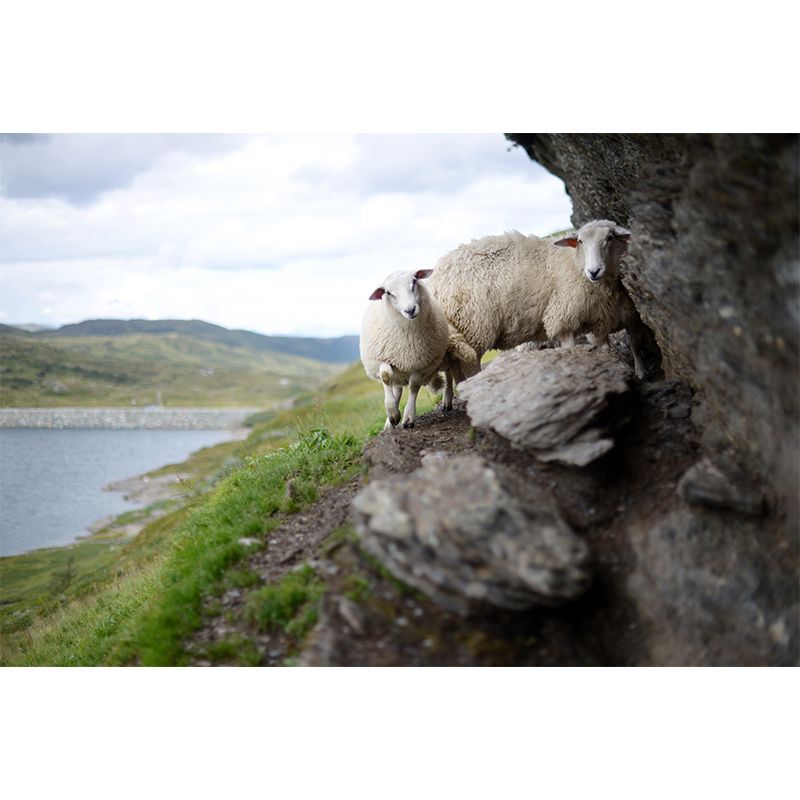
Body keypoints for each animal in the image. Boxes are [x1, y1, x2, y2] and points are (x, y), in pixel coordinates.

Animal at [360, 268, 453, 429]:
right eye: (388, 292)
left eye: (414, 282)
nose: (410, 310)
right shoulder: (382, 357)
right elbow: (385, 376)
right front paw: (392, 413)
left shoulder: (421, 363)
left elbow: (414, 386)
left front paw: (408, 417)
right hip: (399, 368)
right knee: (396, 387)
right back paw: (390, 422)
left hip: (443, 355)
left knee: (448, 372)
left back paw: (447, 400)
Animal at [427, 219, 649, 379]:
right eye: (580, 241)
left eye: (610, 237)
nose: (594, 271)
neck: (576, 263)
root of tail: (435, 278)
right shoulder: (562, 317)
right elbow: (570, 349)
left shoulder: (606, 319)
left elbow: (625, 348)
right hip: (473, 328)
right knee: (467, 368)